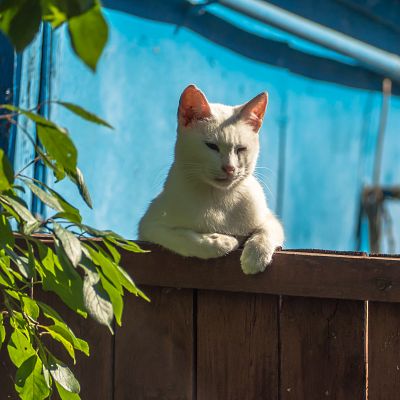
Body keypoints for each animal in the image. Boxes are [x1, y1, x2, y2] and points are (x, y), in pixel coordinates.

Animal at [139, 83, 282, 272]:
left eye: (241, 149)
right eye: (211, 146)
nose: (229, 168)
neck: (218, 198)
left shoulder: (270, 219)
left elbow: (266, 231)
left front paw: (255, 256)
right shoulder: (149, 226)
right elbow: (184, 238)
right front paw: (221, 242)